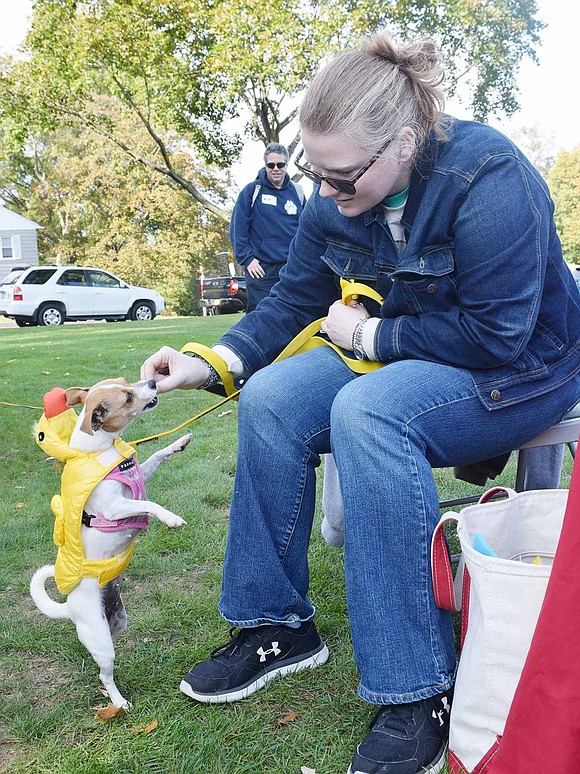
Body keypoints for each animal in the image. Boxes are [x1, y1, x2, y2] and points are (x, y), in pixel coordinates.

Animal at [30, 378, 189, 712]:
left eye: (128, 382)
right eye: (127, 397)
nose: (152, 381)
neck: (101, 451)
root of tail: (70, 609)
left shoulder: (140, 478)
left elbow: (156, 456)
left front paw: (179, 442)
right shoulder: (116, 508)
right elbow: (150, 504)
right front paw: (170, 518)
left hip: (116, 624)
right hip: (101, 641)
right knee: (104, 675)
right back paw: (119, 702)